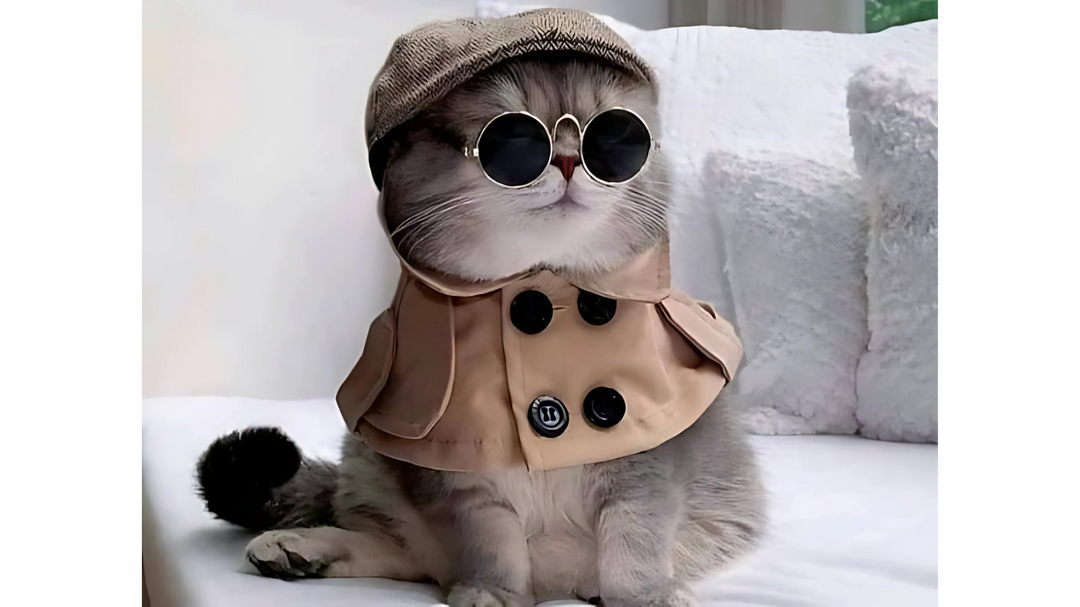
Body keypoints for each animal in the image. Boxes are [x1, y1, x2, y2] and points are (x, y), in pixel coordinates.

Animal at [196, 51, 768, 604]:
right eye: (513, 137)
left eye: (615, 136)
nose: (567, 159)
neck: (540, 291)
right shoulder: (458, 475)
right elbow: (488, 541)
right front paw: (493, 591)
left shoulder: (645, 458)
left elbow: (635, 537)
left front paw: (643, 595)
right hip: (371, 462)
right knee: (400, 551)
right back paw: (299, 548)